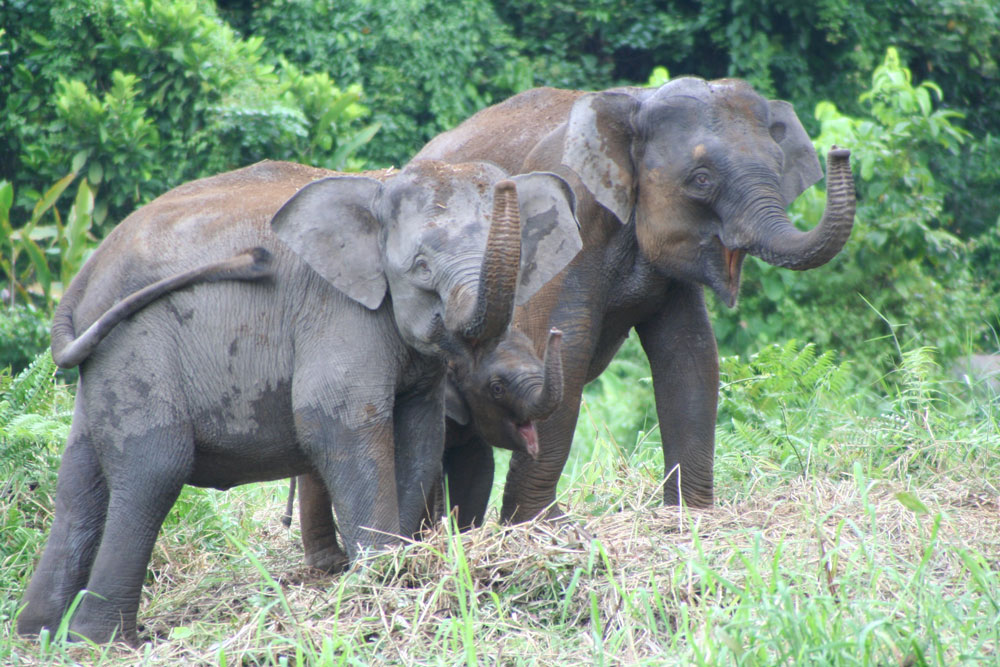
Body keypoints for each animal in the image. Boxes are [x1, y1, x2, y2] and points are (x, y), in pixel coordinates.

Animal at [15, 159, 580, 644]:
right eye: (420, 267)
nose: (556, 333)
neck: (379, 186)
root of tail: (84, 279)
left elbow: (419, 436)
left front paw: (400, 569)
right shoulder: (341, 310)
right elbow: (336, 421)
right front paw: (380, 585)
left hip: (108, 365)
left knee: (81, 476)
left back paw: (40, 634)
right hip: (137, 346)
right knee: (155, 467)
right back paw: (102, 642)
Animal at [418, 75, 856, 520]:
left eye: (778, 165)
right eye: (701, 179)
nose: (840, 150)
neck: (635, 105)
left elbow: (690, 351)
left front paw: (689, 514)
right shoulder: (559, 224)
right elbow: (566, 347)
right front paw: (540, 524)